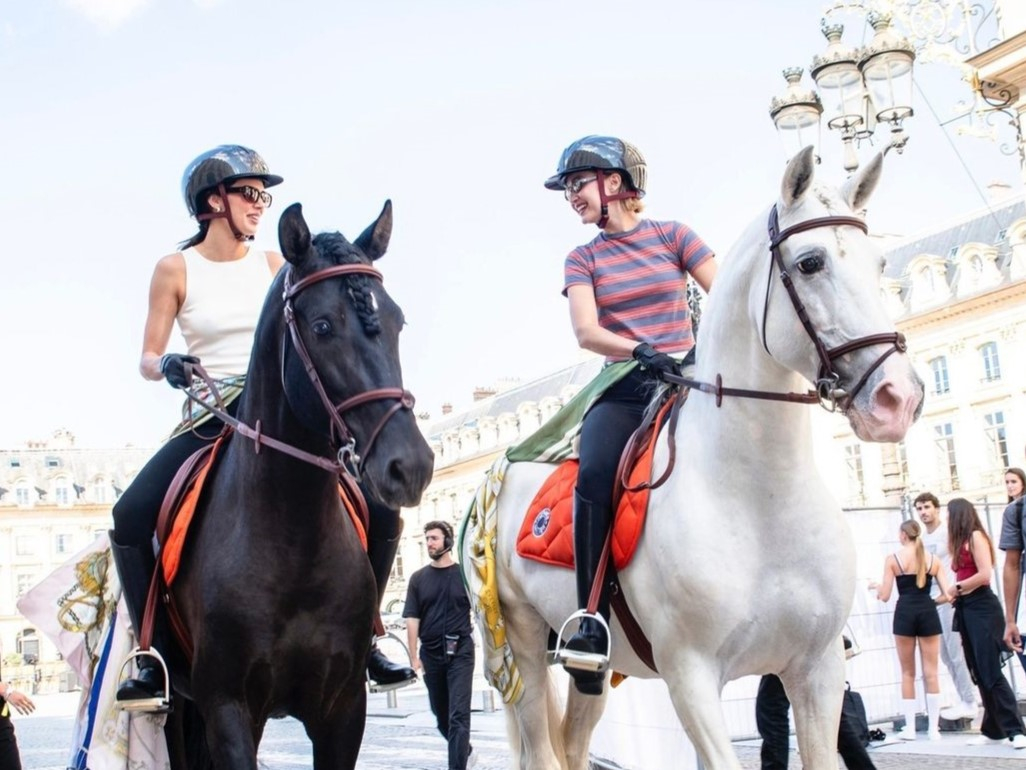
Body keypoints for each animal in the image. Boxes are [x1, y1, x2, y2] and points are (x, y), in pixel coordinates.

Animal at [170, 202, 435, 767]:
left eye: (398, 321)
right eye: (322, 325)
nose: (411, 465)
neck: (293, 543)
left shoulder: (343, 707)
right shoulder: (226, 707)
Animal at [476, 145, 927, 770]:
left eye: (881, 263)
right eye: (811, 262)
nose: (897, 399)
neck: (761, 498)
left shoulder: (818, 668)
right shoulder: (690, 677)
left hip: (594, 672)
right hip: (519, 646)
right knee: (542, 746)